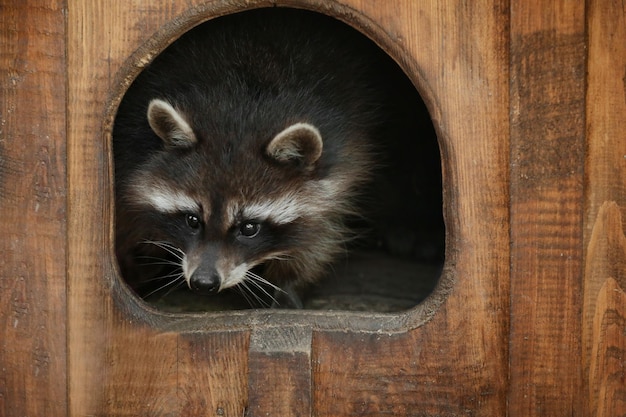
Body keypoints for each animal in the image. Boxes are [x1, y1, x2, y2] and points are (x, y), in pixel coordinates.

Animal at [112, 6, 410, 306]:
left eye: (249, 228)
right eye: (192, 220)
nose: (204, 283)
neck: (240, 108)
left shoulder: (343, 160)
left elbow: (321, 232)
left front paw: (289, 284)